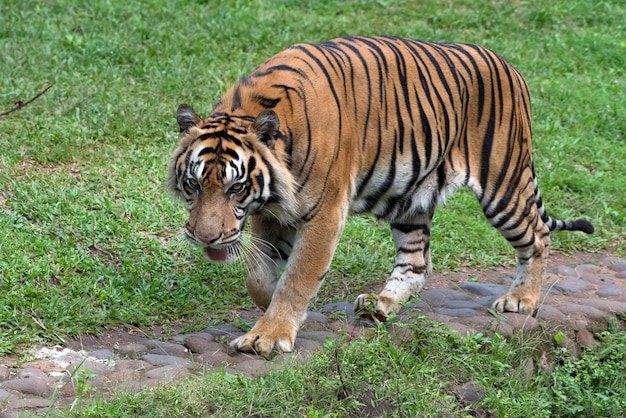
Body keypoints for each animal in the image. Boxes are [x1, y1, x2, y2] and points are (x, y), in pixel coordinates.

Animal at [166, 35, 588, 360]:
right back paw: (380, 306)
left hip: (504, 183)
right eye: (194, 184)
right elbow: (259, 275)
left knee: (538, 236)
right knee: (417, 264)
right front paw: (277, 304)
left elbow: (299, 276)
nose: (205, 237)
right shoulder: (271, 212)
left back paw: (522, 300)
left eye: (235, 187)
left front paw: (267, 337)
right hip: (411, 198)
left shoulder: (323, 214)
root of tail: (510, 67)